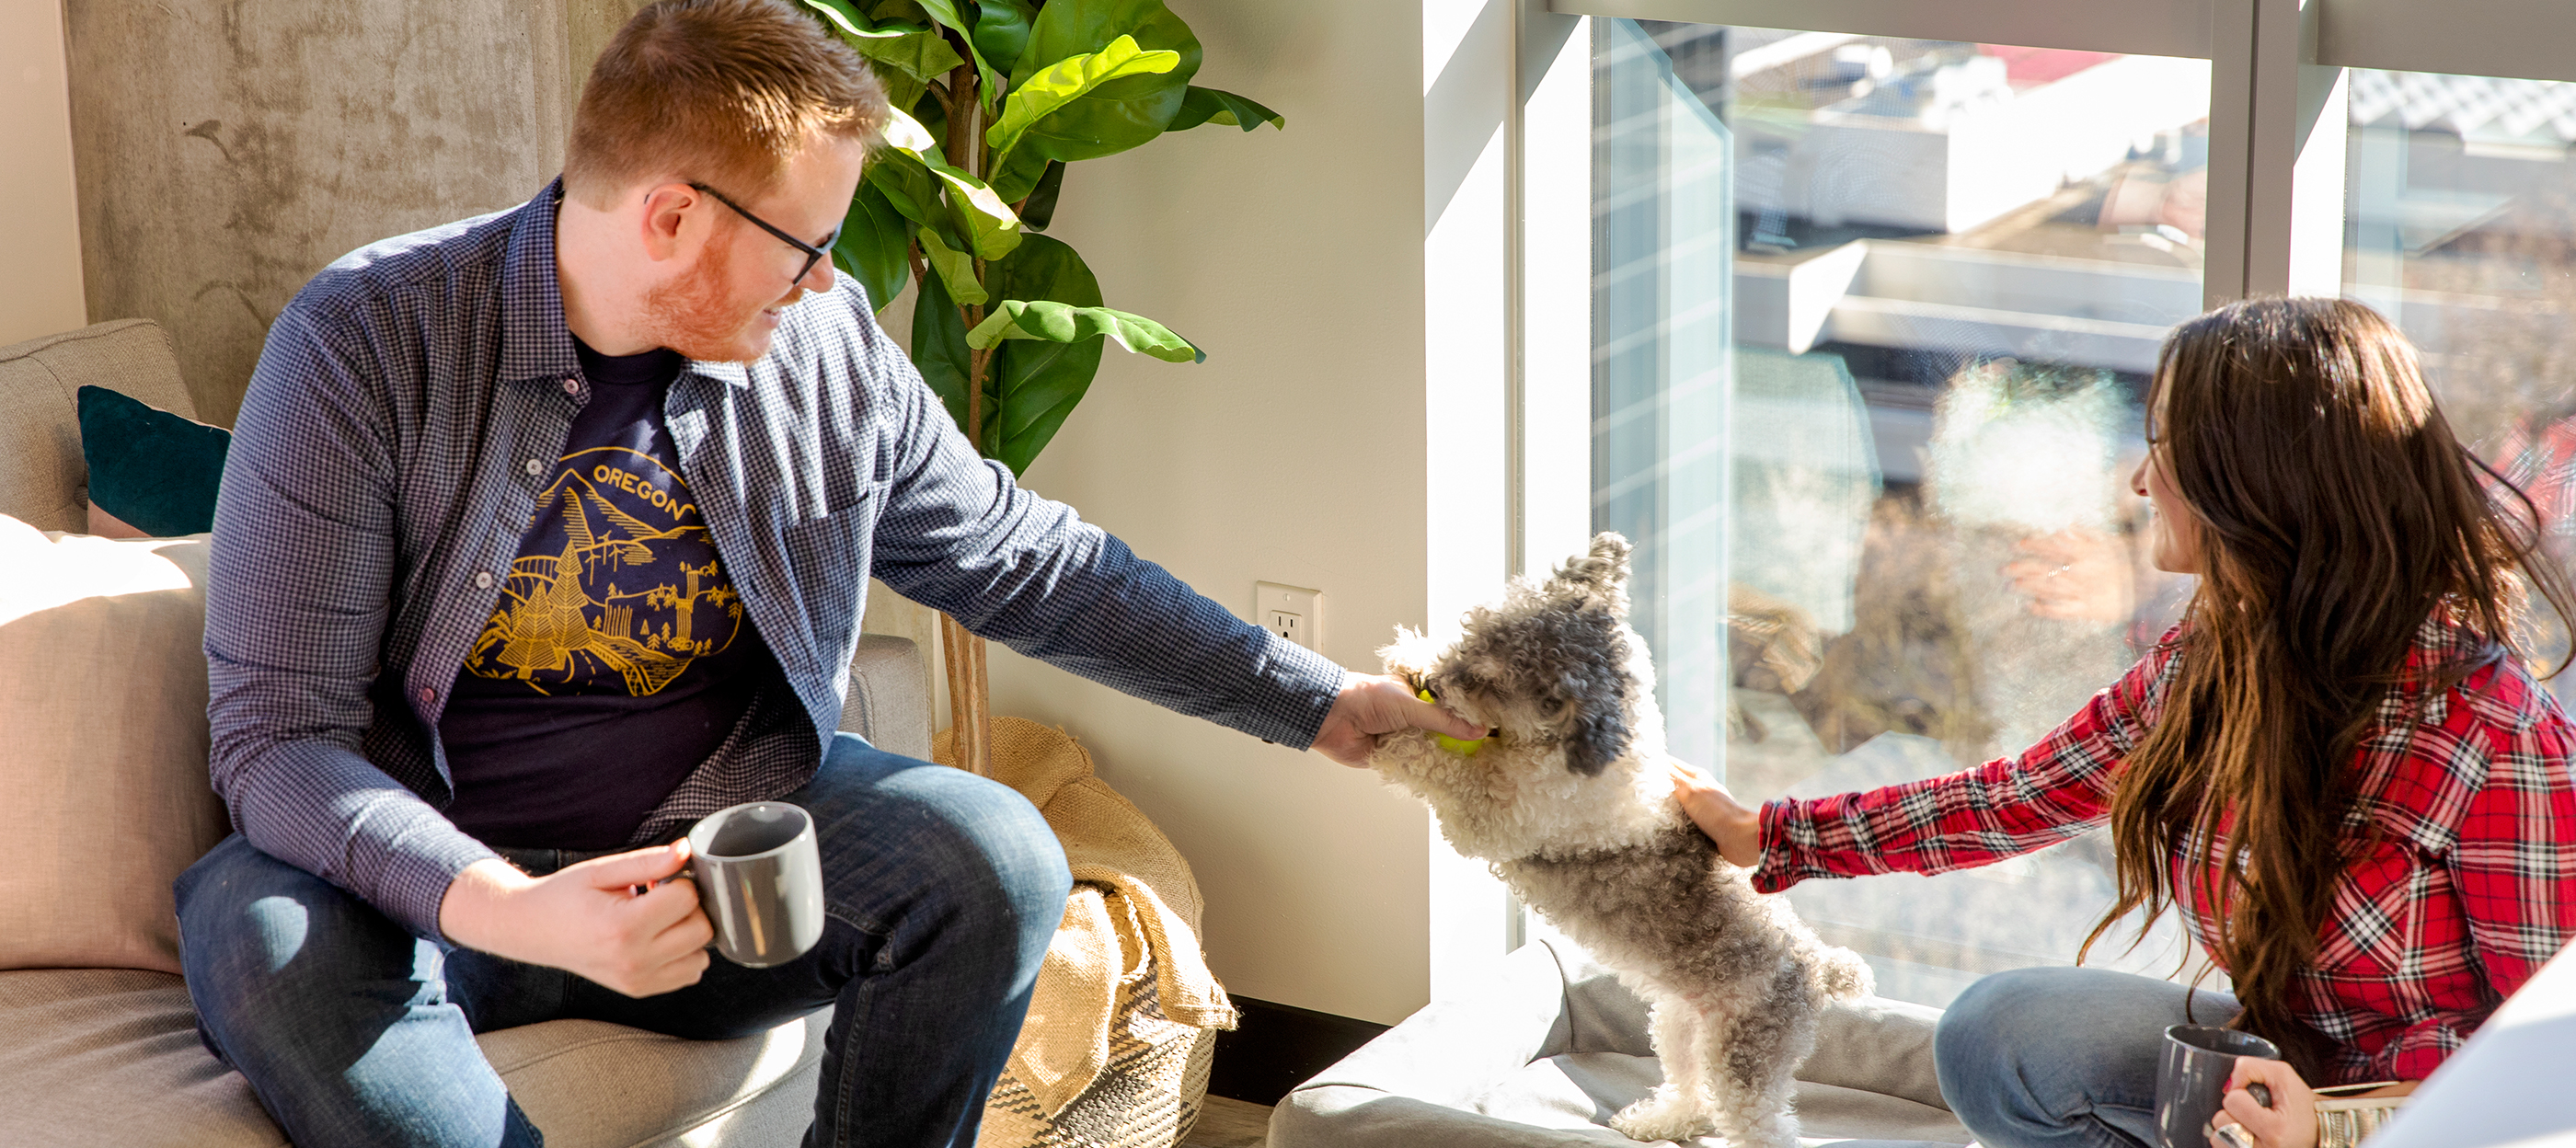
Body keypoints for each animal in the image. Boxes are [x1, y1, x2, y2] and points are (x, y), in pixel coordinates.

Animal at [1380, 535, 1865, 1148]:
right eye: (1471, 634)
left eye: (1487, 680)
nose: (1434, 685)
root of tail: (1818, 967)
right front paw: (1406, 658)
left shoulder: (1493, 817)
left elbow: (1448, 771)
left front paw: (1396, 734)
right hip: (1679, 1023)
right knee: (1692, 1095)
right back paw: (1658, 1121)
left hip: (1745, 1062)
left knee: (1761, 1128)